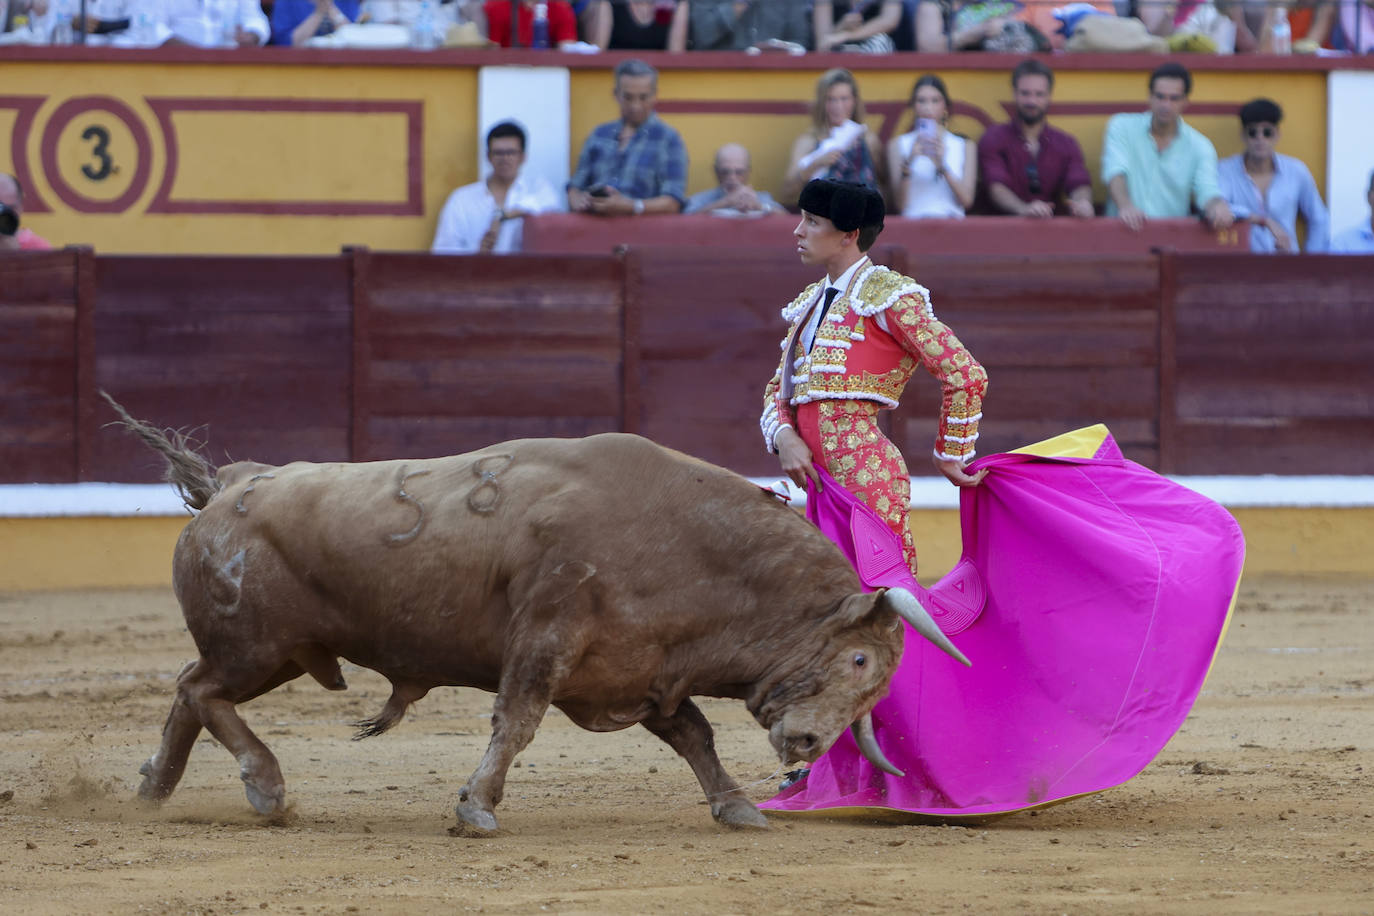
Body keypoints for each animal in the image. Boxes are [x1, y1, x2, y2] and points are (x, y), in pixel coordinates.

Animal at [107, 398, 967, 834]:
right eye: (860, 661)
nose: (809, 745)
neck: (692, 544)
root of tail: (230, 483)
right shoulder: (547, 637)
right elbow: (516, 724)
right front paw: (475, 809)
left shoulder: (641, 669)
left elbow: (694, 735)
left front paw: (737, 806)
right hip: (260, 648)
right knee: (201, 689)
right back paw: (264, 787)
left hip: (277, 652)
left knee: (188, 689)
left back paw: (155, 786)